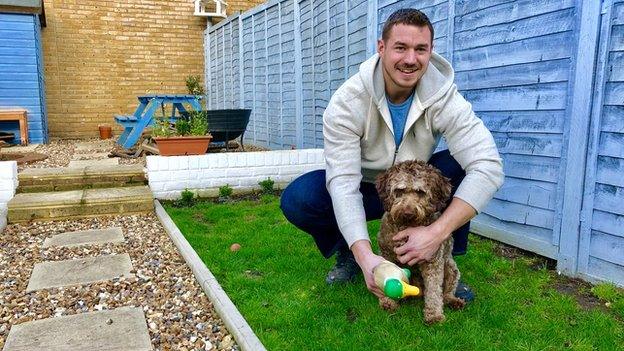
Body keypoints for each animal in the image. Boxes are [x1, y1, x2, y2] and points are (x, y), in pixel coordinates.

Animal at [376, 160, 464, 324]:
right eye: (399, 191)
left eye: (421, 192)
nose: (408, 212)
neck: (407, 225)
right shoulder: (386, 253)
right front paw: (388, 301)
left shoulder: (433, 259)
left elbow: (434, 288)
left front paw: (434, 314)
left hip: (451, 268)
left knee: (447, 291)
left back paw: (453, 300)